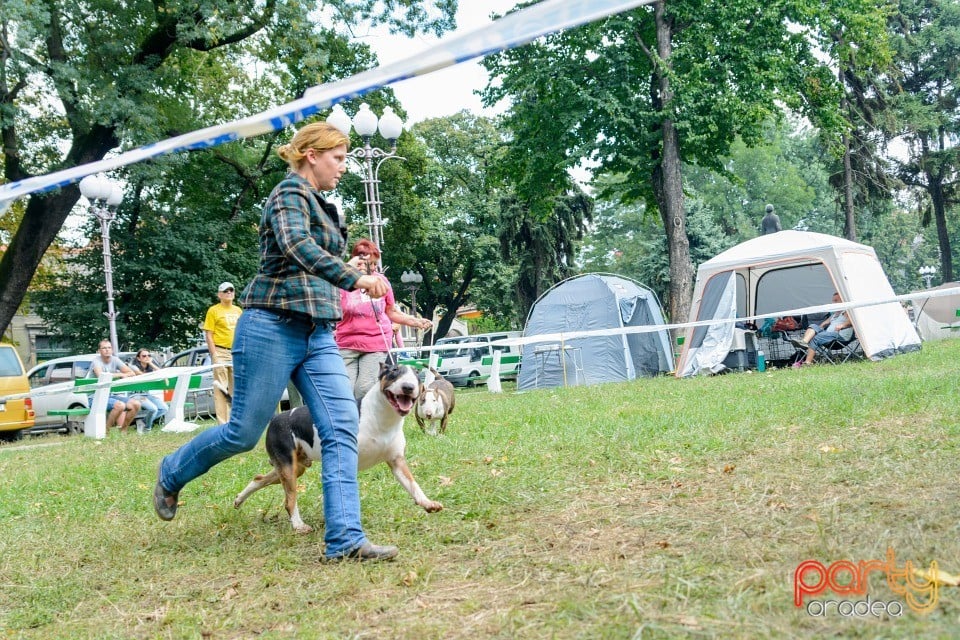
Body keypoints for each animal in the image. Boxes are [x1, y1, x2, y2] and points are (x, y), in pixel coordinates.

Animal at [234, 362, 444, 532]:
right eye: (393, 373)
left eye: (417, 376)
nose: (408, 387)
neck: (381, 418)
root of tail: (276, 419)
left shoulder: (397, 461)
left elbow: (413, 485)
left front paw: (428, 504)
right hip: (287, 465)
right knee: (289, 499)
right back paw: (299, 525)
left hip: (295, 467)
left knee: (259, 478)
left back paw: (238, 500)